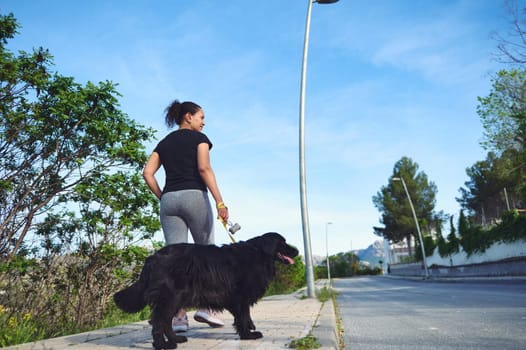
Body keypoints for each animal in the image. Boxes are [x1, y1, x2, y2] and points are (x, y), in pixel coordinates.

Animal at [114, 231, 300, 348]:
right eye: (282, 243)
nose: (297, 251)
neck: (258, 254)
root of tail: (152, 257)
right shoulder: (240, 297)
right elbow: (242, 316)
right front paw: (248, 335)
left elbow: (246, 316)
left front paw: (249, 329)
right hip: (170, 297)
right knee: (159, 322)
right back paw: (163, 345)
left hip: (176, 298)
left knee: (165, 322)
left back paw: (176, 339)